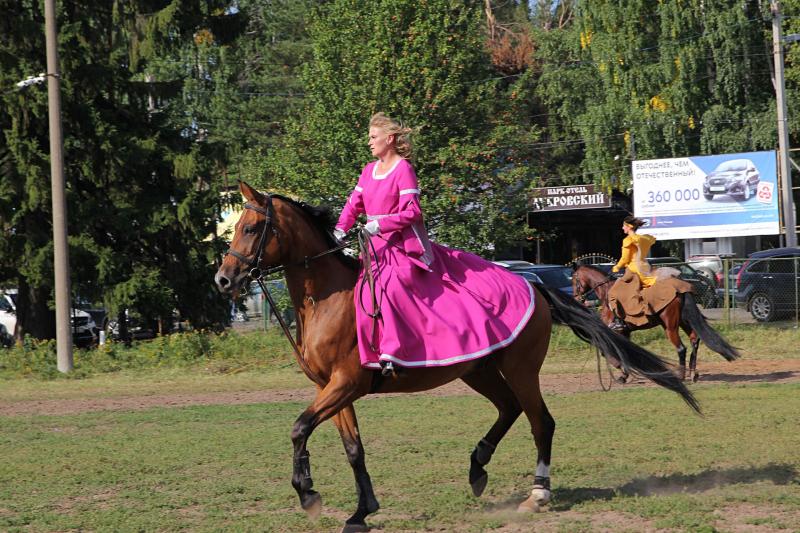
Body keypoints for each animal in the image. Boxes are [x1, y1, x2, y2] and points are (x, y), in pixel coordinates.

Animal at [216, 183, 696, 532]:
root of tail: (535, 286)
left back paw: (537, 493)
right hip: (479, 371)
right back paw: (477, 466)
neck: (328, 300)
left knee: (540, 421)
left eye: (253, 229)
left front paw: (308, 494)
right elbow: (353, 448)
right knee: (509, 409)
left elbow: (298, 428)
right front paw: (361, 510)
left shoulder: (346, 384)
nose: (223, 279)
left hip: (521, 369)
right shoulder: (331, 389)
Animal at [576, 262, 736, 382]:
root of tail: (680, 291)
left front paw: (621, 371)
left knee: (681, 348)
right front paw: (625, 374)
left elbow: (608, 351)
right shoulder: (625, 332)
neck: (606, 292)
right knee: (694, 340)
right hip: (683, 322)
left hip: (670, 327)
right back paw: (693, 373)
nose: (578, 299)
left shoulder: (614, 331)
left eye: (575, 280)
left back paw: (681, 375)